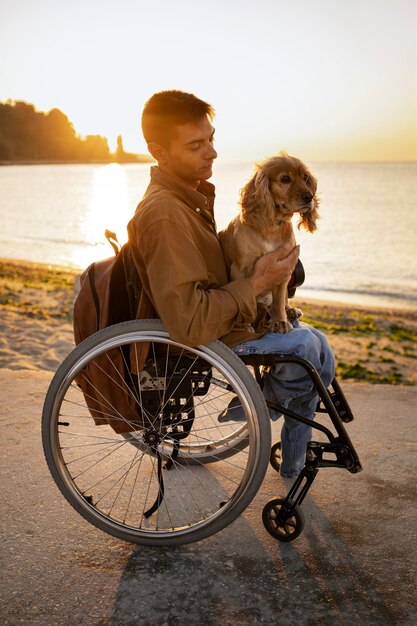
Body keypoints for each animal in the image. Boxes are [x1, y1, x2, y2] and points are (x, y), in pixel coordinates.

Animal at [218, 152, 318, 332]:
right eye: (285, 179)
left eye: (305, 177)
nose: (310, 197)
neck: (273, 225)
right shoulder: (240, 269)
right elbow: (246, 298)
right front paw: (244, 326)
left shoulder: (284, 268)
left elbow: (279, 299)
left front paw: (280, 320)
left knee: (283, 299)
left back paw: (290, 310)